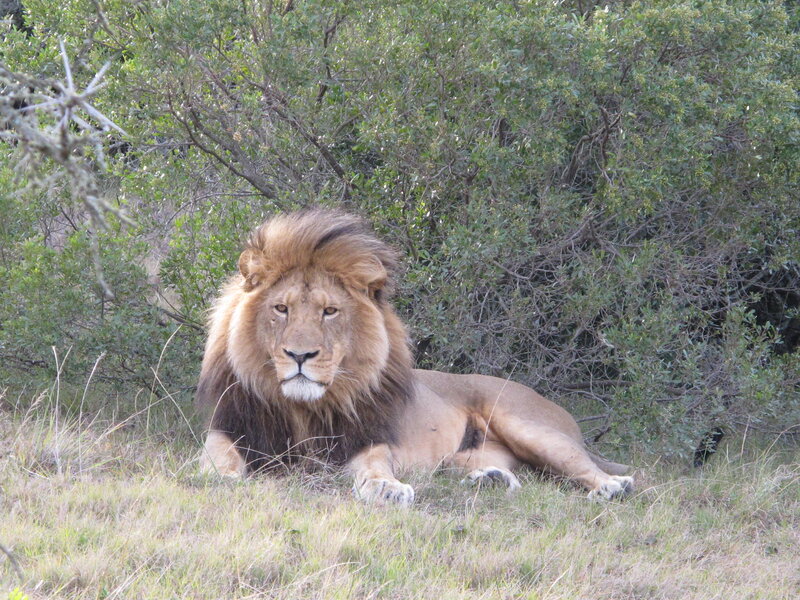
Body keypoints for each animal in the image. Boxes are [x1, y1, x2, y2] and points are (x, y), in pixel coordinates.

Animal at [197, 210, 633, 504]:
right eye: (281, 309)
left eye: (329, 311)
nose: (299, 354)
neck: (304, 410)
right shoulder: (229, 428)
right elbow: (217, 457)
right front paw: (221, 477)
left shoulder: (367, 440)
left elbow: (375, 467)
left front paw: (387, 488)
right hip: (464, 459)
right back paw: (491, 480)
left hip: (527, 424)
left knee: (585, 467)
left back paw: (612, 487)